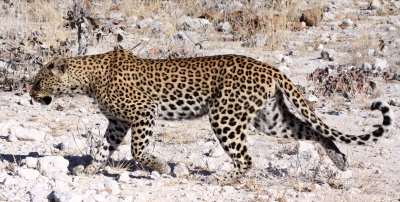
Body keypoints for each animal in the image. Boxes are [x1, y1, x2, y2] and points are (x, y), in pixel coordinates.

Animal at [29, 49, 392, 185]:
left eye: (38, 80)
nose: (29, 94)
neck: (87, 79)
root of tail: (268, 67)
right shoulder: (117, 123)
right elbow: (104, 149)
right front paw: (90, 170)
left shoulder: (144, 112)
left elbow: (139, 150)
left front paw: (163, 168)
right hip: (270, 119)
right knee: (314, 130)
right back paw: (340, 160)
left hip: (225, 116)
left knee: (246, 160)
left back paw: (223, 180)